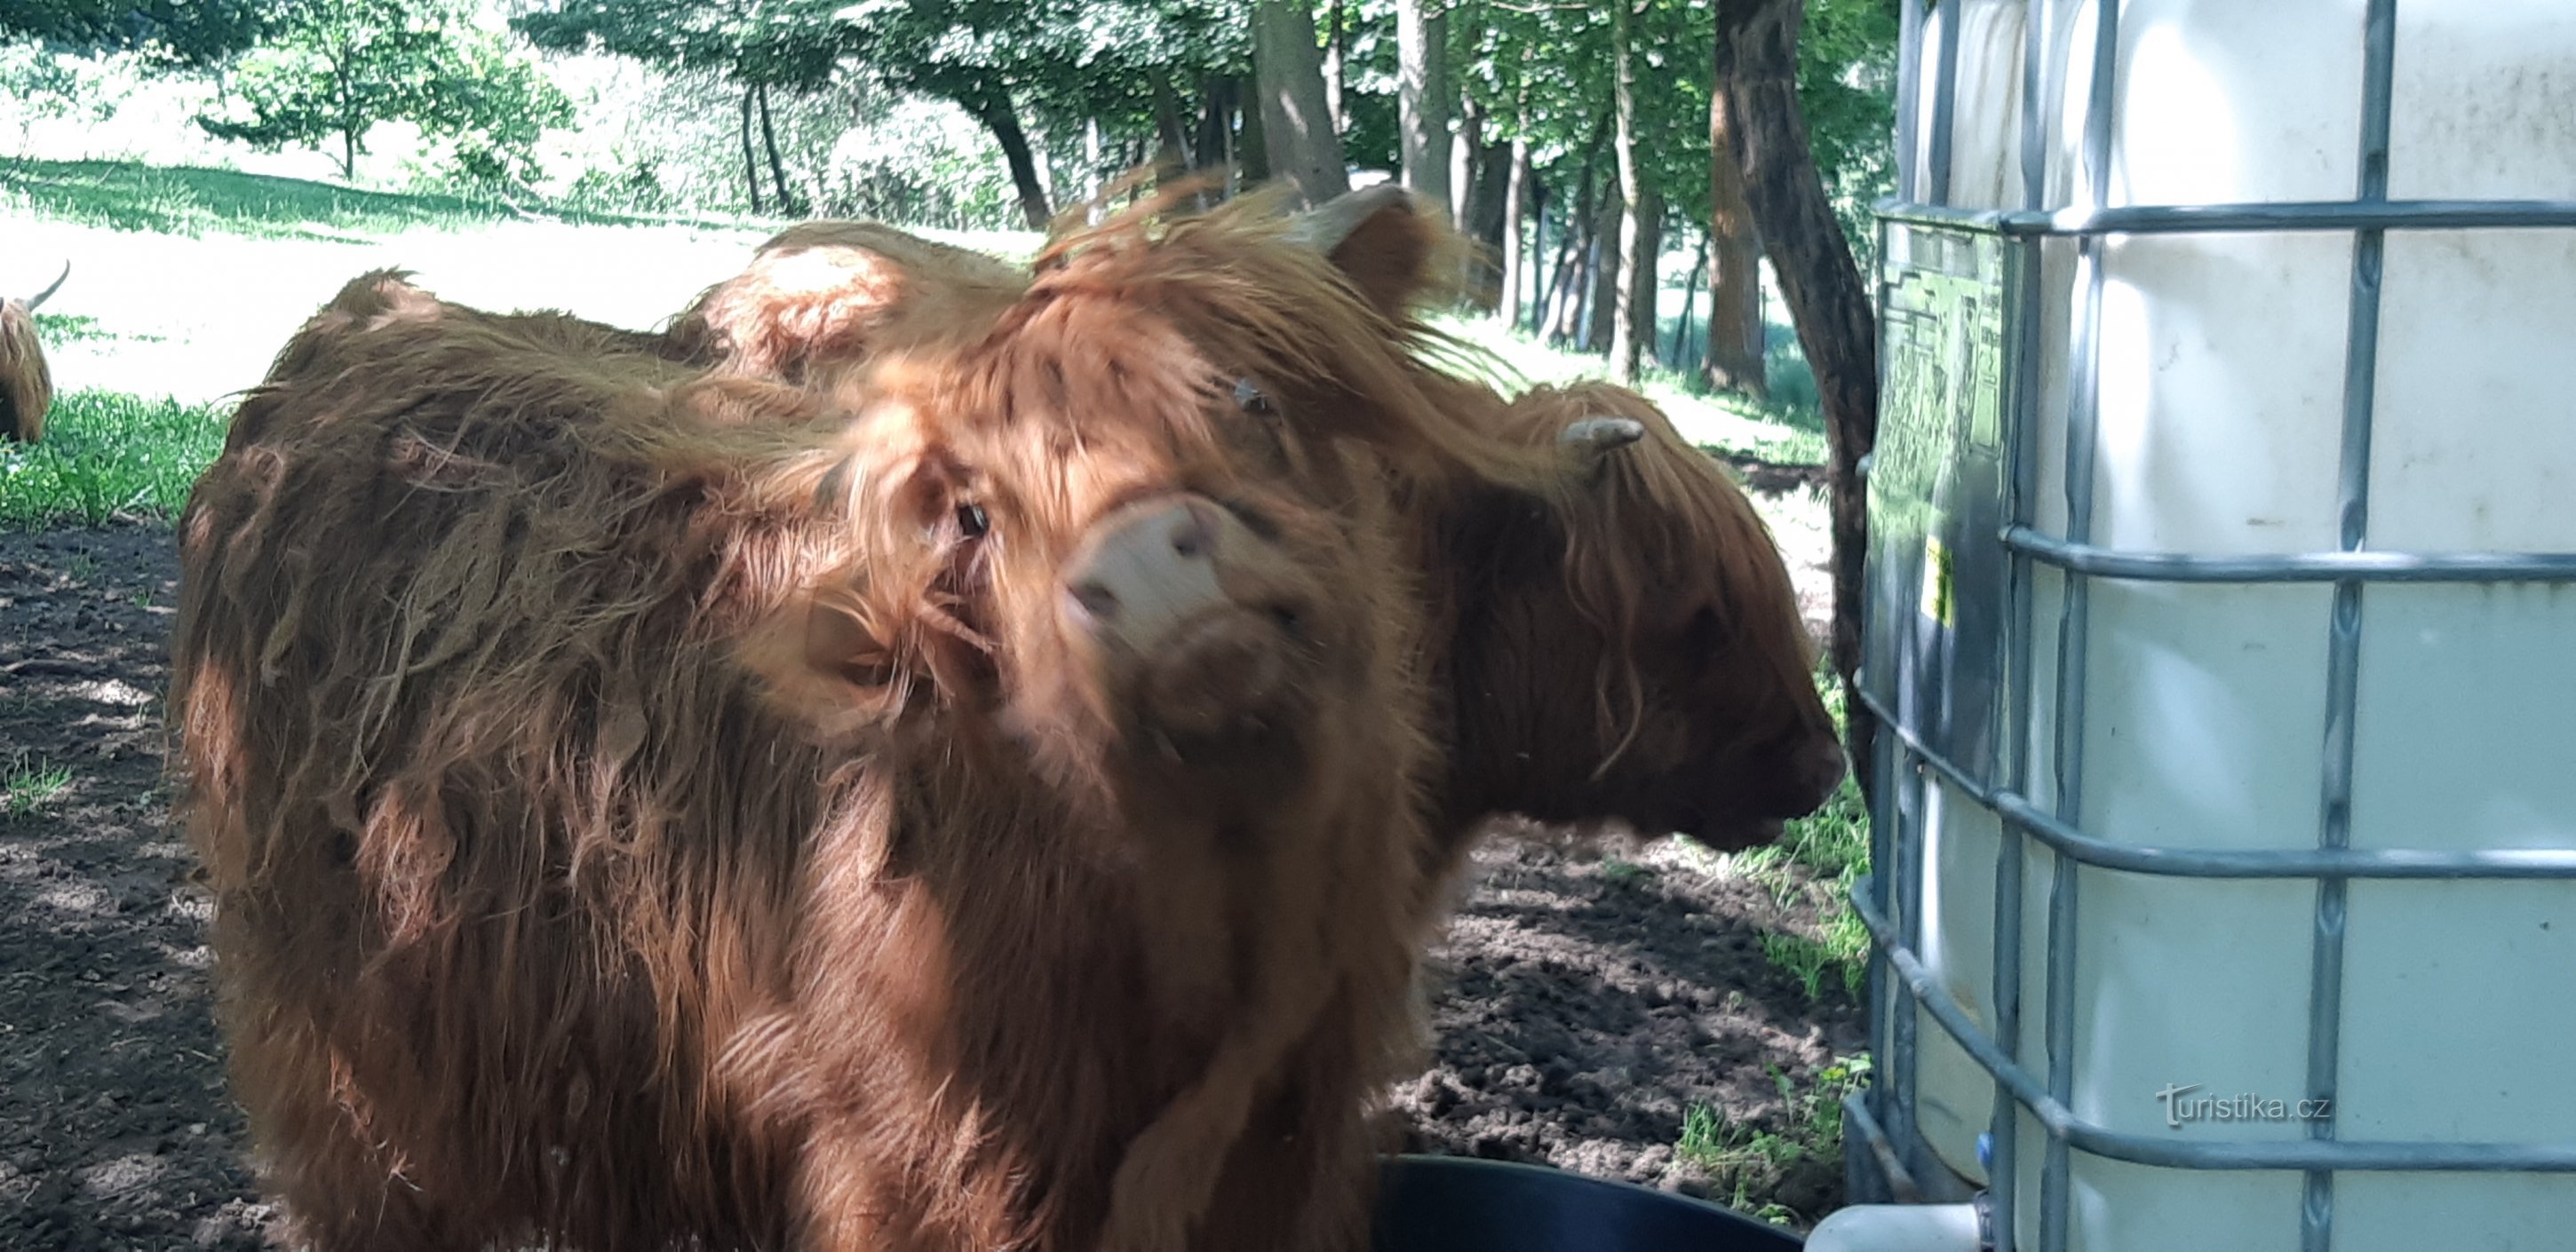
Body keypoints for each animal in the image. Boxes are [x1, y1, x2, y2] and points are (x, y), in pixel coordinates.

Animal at [171, 187, 1586, 1252]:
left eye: (1249, 399)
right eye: (973, 516)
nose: (1157, 574)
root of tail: (376, 309)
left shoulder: (1284, 1146)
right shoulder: (915, 1152)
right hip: (333, 1039)